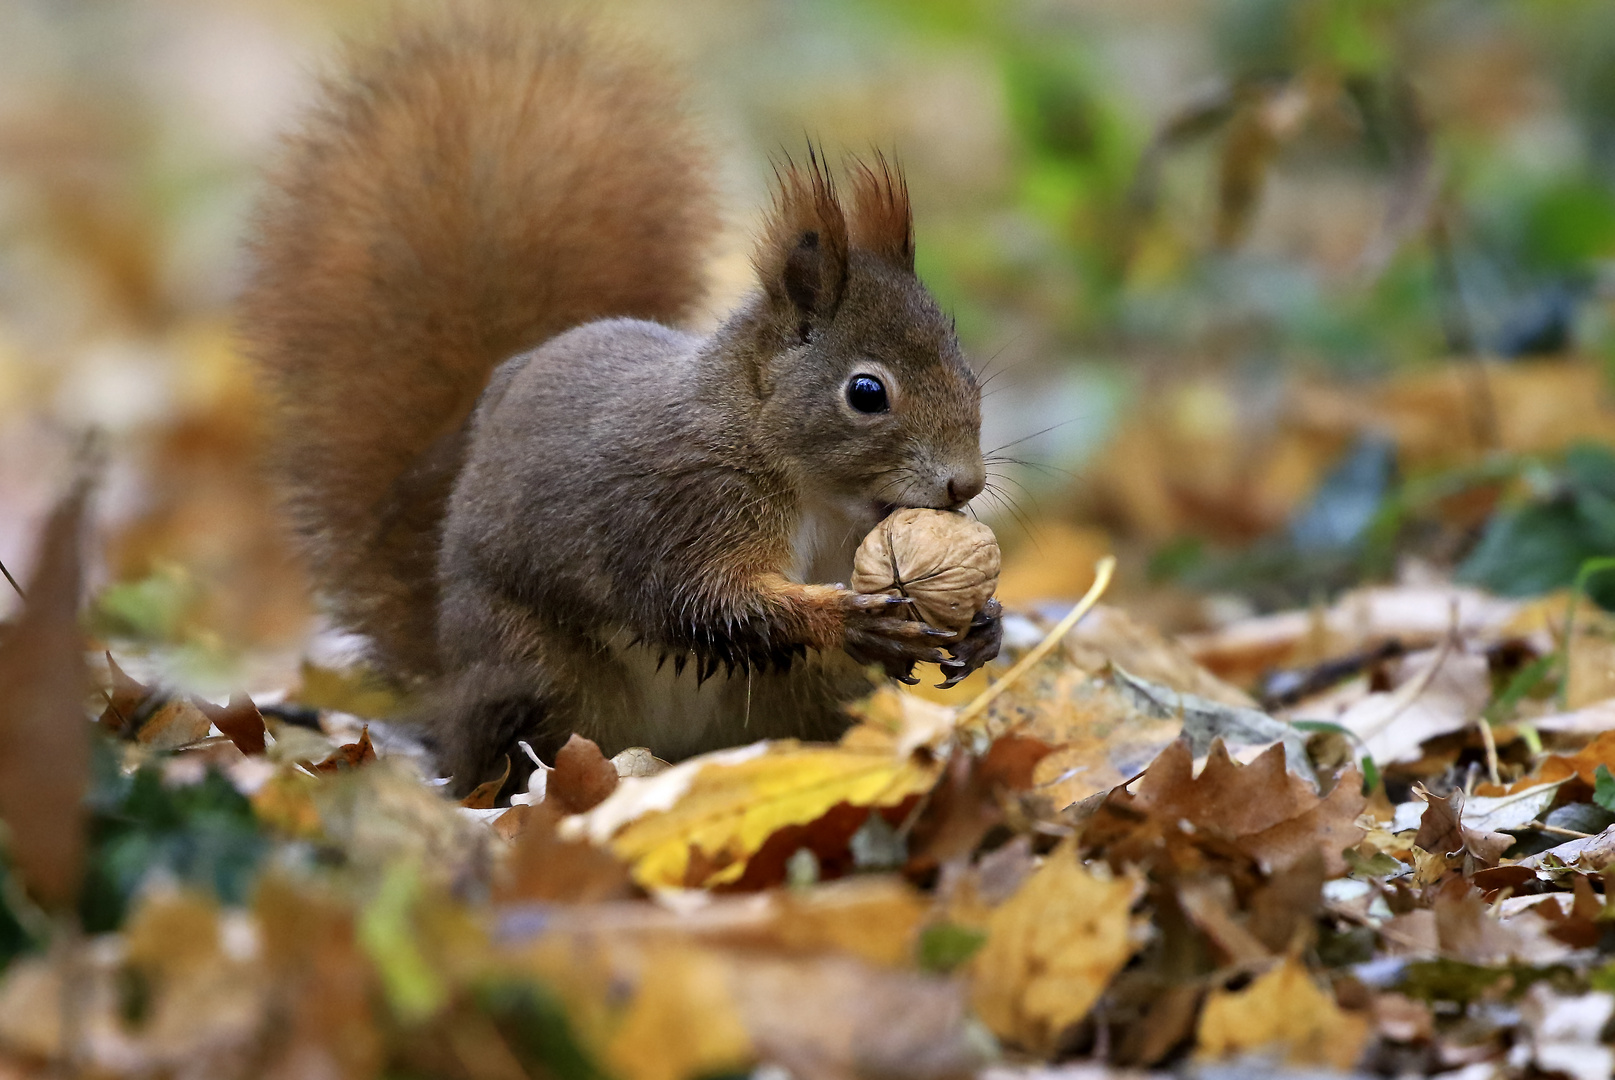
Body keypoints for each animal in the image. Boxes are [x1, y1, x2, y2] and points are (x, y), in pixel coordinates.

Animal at [237, 0, 994, 791]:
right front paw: (850, 619)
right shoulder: (681, 504)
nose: (965, 483)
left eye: (965, 365)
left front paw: (984, 626)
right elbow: (705, 602)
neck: (810, 486)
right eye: (866, 391)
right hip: (535, 672)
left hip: (801, 697)